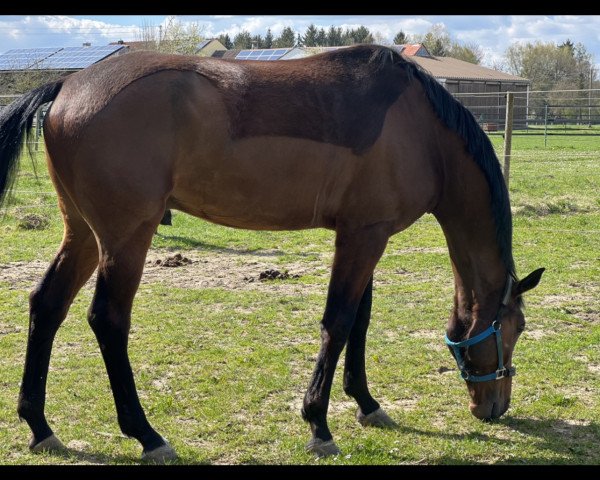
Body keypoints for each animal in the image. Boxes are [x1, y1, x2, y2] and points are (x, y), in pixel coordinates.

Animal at [0, 45, 544, 462]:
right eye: (515, 329)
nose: (496, 407)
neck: (421, 131)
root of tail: (67, 86)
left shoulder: (367, 234)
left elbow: (360, 321)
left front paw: (366, 404)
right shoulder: (364, 237)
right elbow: (338, 322)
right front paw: (318, 424)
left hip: (82, 235)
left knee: (47, 305)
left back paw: (40, 426)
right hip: (125, 237)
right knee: (108, 320)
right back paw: (147, 435)